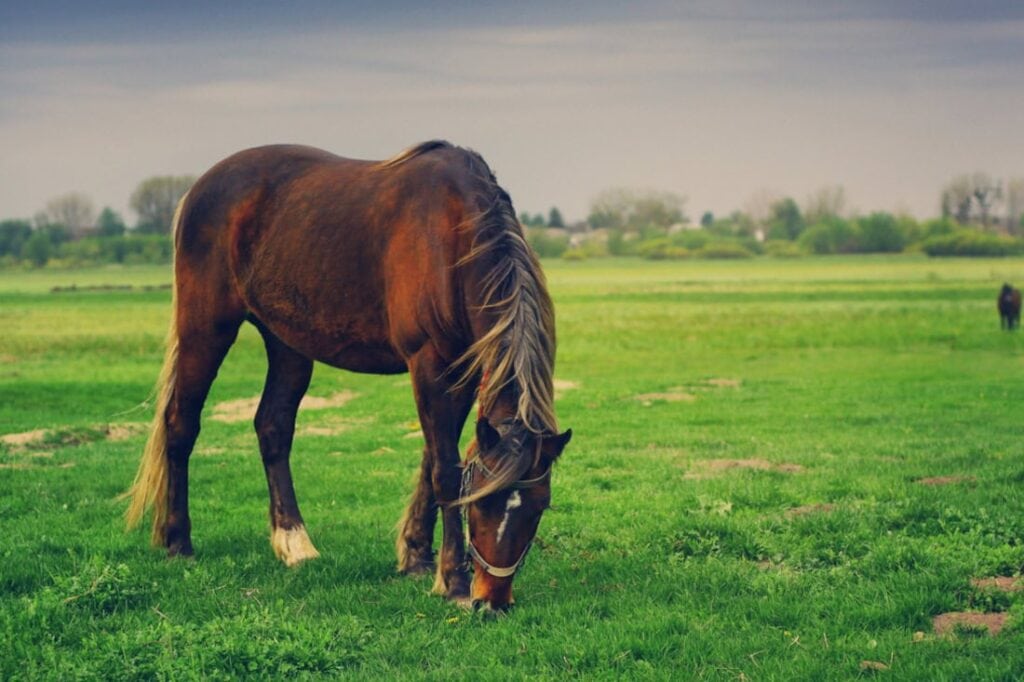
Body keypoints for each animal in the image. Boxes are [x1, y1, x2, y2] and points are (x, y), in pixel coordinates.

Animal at [124, 141, 571, 611]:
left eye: (538, 508)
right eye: (481, 505)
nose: (492, 602)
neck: (453, 236)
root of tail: (198, 190)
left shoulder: (462, 371)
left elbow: (433, 458)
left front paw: (416, 555)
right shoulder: (429, 363)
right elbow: (445, 470)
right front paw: (453, 579)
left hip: (287, 343)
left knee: (272, 427)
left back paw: (294, 542)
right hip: (206, 329)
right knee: (181, 425)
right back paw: (178, 542)